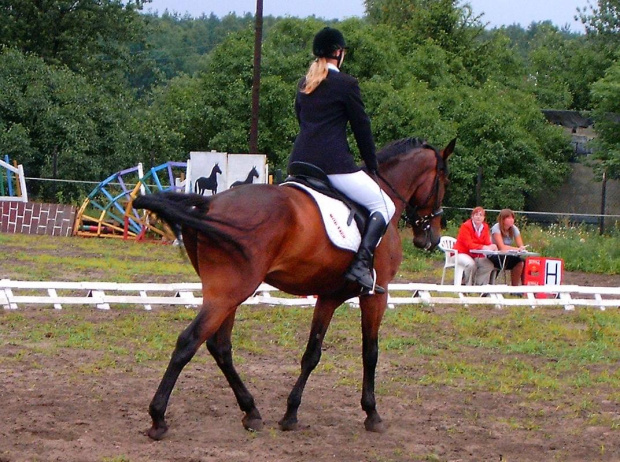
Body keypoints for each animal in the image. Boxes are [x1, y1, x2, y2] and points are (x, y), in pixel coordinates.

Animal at [133, 137, 456, 440]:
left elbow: (312, 353)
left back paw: (251, 411)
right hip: (229, 292)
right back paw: (158, 418)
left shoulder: (328, 297)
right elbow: (370, 352)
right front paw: (372, 413)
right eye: (444, 180)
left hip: (228, 295)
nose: (430, 238)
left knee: (219, 346)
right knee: (189, 342)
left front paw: (291, 413)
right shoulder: (378, 293)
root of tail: (209, 205)